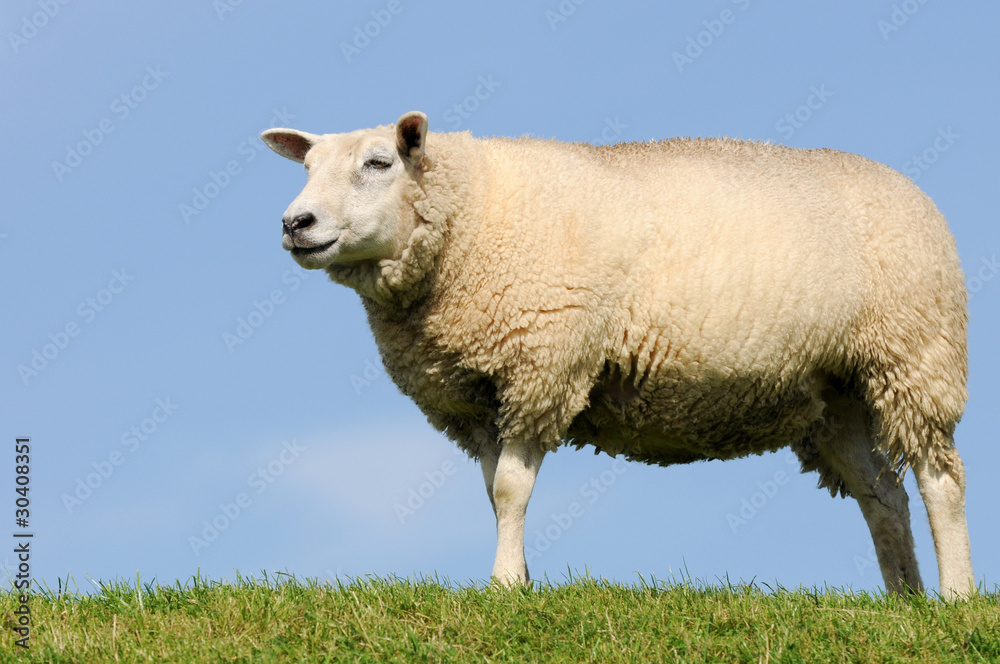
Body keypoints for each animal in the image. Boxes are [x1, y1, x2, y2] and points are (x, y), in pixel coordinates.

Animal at [260, 111, 974, 598]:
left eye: (380, 163)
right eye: (307, 169)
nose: (296, 224)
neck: (474, 215)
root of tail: (911, 191)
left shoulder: (543, 366)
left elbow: (513, 487)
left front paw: (503, 587)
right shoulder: (478, 395)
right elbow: (496, 494)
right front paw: (520, 581)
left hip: (915, 355)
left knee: (939, 481)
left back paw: (955, 596)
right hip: (840, 391)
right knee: (883, 495)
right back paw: (903, 599)